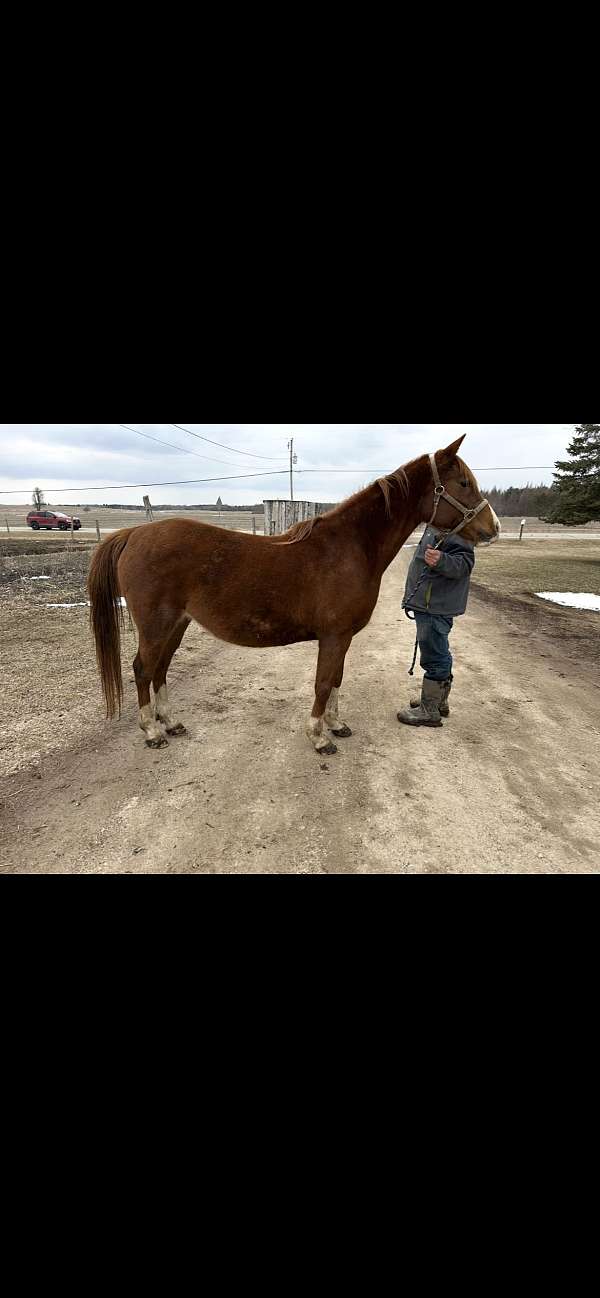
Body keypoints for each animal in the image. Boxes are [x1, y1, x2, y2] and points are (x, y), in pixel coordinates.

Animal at [87, 435, 500, 754]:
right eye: (463, 483)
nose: (492, 526)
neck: (349, 548)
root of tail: (132, 535)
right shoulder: (333, 636)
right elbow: (322, 682)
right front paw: (319, 737)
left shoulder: (343, 638)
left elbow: (336, 680)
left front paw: (336, 725)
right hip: (157, 625)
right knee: (142, 670)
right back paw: (152, 731)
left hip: (177, 624)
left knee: (160, 669)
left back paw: (170, 722)